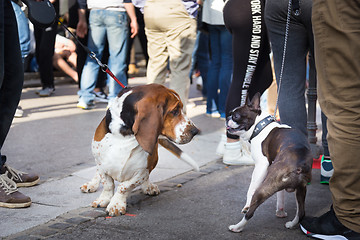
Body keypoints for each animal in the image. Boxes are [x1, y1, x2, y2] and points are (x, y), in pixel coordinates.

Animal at [81, 84, 200, 216]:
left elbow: (123, 187)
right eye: (174, 111)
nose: (195, 131)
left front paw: (116, 204)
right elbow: (108, 184)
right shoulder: (102, 165)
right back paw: (91, 184)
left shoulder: (141, 172)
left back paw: (148, 187)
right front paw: (104, 199)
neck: (125, 136)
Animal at [225, 92, 312, 232]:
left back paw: (237, 227)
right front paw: (280, 211)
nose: (227, 118)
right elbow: (280, 195)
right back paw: (291, 224)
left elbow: (250, 189)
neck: (260, 126)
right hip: (301, 188)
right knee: (301, 212)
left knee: (251, 212)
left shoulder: (261, 166)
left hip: (265, 187)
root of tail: (300, 163)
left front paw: (246, 205)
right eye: (230, 114)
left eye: (236, 116)